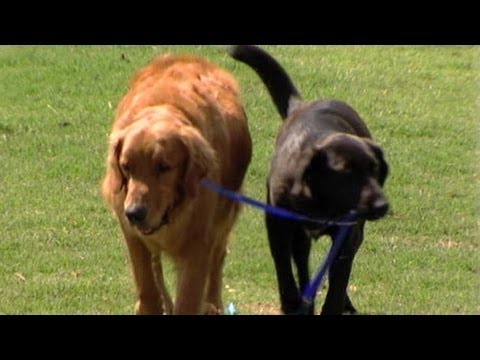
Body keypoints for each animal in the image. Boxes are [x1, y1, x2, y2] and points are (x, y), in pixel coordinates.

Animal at [229, 45, 390, 316]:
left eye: (374, 169)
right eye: (346, 171)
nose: (382, 205)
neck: (320, 202)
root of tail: (301, 105)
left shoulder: (347, 236)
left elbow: (337, 284)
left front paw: (333, 304)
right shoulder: (277, 225)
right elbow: (284, 270)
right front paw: (291, 302)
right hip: (299, 237)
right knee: (302, 266)